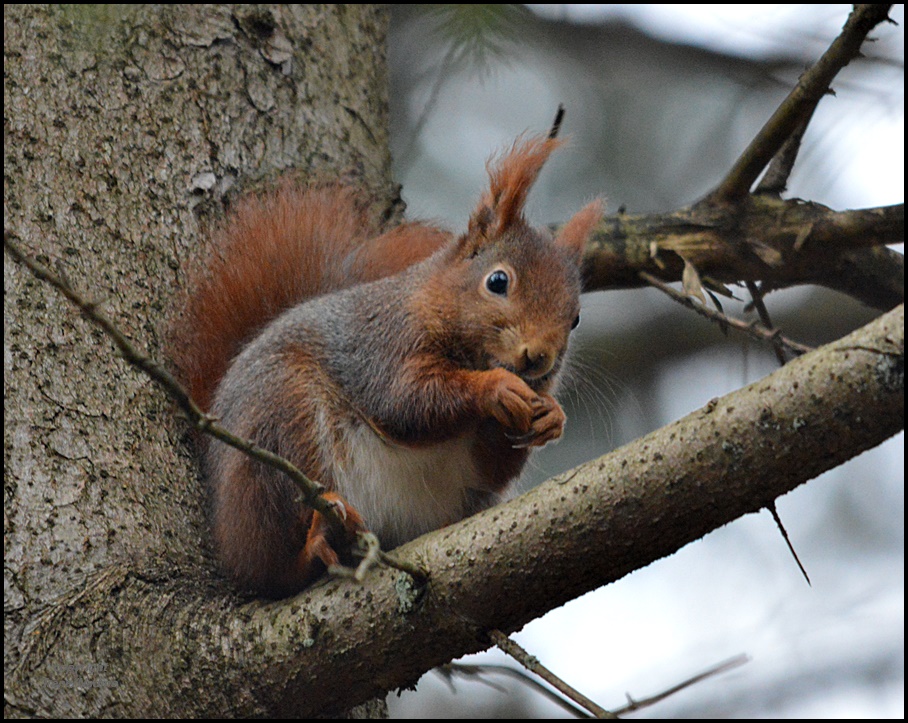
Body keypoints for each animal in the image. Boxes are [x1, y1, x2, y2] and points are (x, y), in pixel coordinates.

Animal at [175, 136, 608, 600]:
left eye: (575, 318)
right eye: (497, 281)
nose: (539, 357)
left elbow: (493, 467)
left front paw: (551, 415)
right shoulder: (382, 347)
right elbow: (405, 403)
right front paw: (495, 388)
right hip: (280, 431)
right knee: (268, 570)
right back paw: (316, 543)